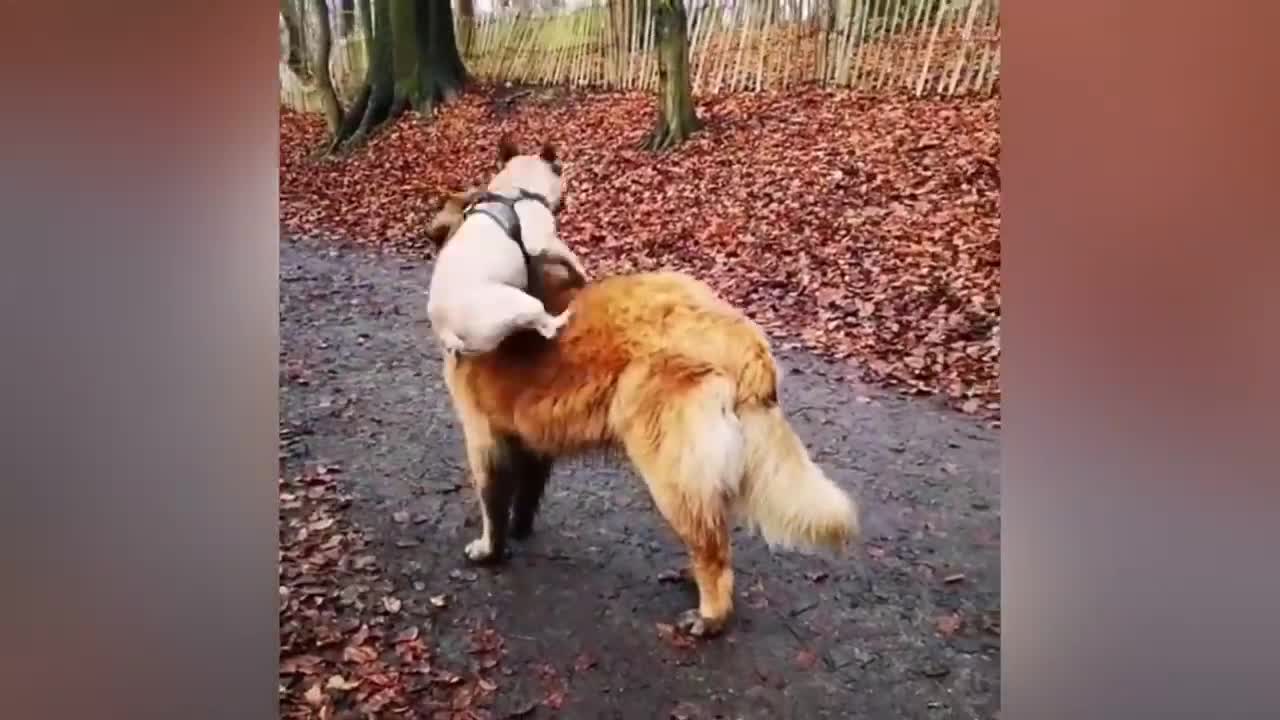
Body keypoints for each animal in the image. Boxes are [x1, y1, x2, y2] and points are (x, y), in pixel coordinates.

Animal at [427, 137, 591, 356]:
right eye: (560, 169)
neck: (515, 189)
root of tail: (447, 329)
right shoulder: (543, 243)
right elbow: (570, 257)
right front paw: (582, 274)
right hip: (523, 305)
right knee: (547, 328)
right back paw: (565, 316)